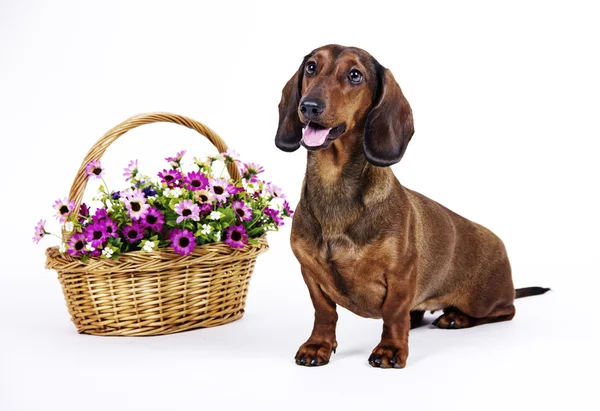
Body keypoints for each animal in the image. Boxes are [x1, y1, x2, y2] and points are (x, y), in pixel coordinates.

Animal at [276, 45, 548, 370]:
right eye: (311, 67)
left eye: (355, 75)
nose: (309, 106)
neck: (335, 185)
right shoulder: (311, 274)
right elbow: (325, 312)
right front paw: (318, 345)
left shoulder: (400, 275)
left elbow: (393, 314)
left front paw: (390, 349)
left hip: (483, 301)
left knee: (506, 310)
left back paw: (456, 317)